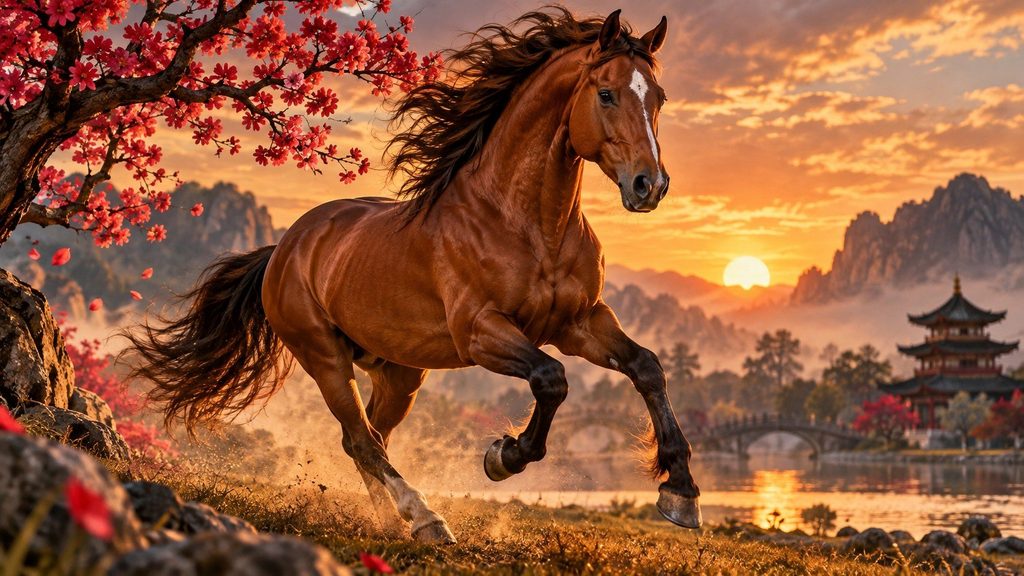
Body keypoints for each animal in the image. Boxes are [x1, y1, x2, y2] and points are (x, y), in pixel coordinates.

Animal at [126, 7, 701, 544]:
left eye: (658, 98)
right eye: (606, 94)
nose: (650, 185)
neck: (526, 223)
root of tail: (285, 248)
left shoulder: (579, 322)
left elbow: (647, 367)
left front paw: (681, 493)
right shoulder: (481, 333)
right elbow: (551, 379)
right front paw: (503, 456)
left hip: (401, 373)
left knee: (367, 440)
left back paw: (390, 520)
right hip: (324, 357)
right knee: (361, 438)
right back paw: (425, 518)